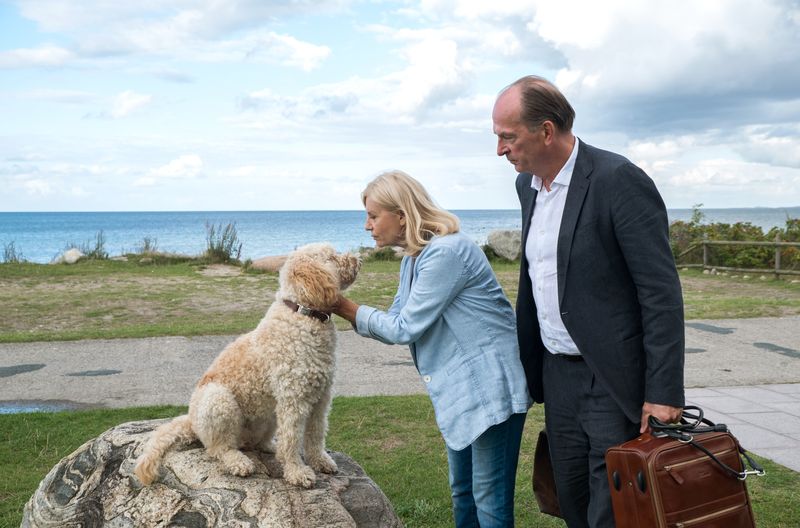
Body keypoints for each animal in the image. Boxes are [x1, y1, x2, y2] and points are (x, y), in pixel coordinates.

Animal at [136, 241, 360, 488]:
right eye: (331, 257)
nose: (358, 259)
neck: (303, 314)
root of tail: (192, 422)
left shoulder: (321, 398)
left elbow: (316, 434)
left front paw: (320, 461)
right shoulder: (293, 399)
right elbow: (292, 440)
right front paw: (297, 472)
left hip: (269, 415)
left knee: (257, 443)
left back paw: (270, 446)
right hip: (218, 400)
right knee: (219, 448)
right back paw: (238, 462)